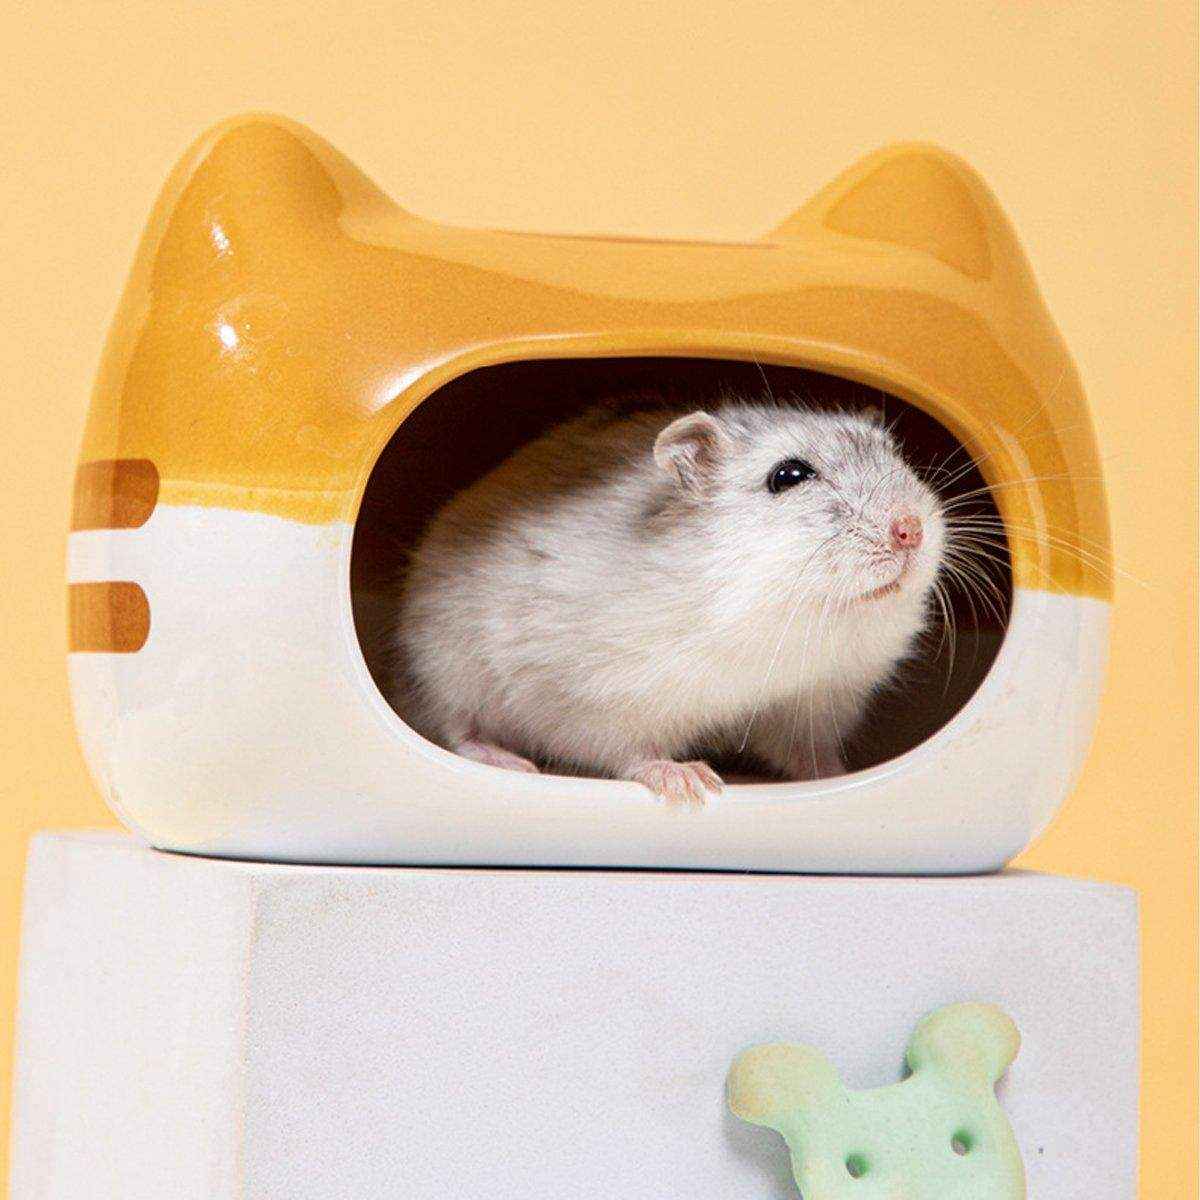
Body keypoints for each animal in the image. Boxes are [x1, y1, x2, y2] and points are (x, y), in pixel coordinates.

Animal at [388, 397, 947, 803]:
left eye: (897, 456)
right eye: (788, 475)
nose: (910, 530)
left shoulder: (808, 707)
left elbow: (810, 755)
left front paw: (842, 775)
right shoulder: (592, 698)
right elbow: (629, 751)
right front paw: (692, 782)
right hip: (445, 667)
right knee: (452, 727)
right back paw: (509, 760)